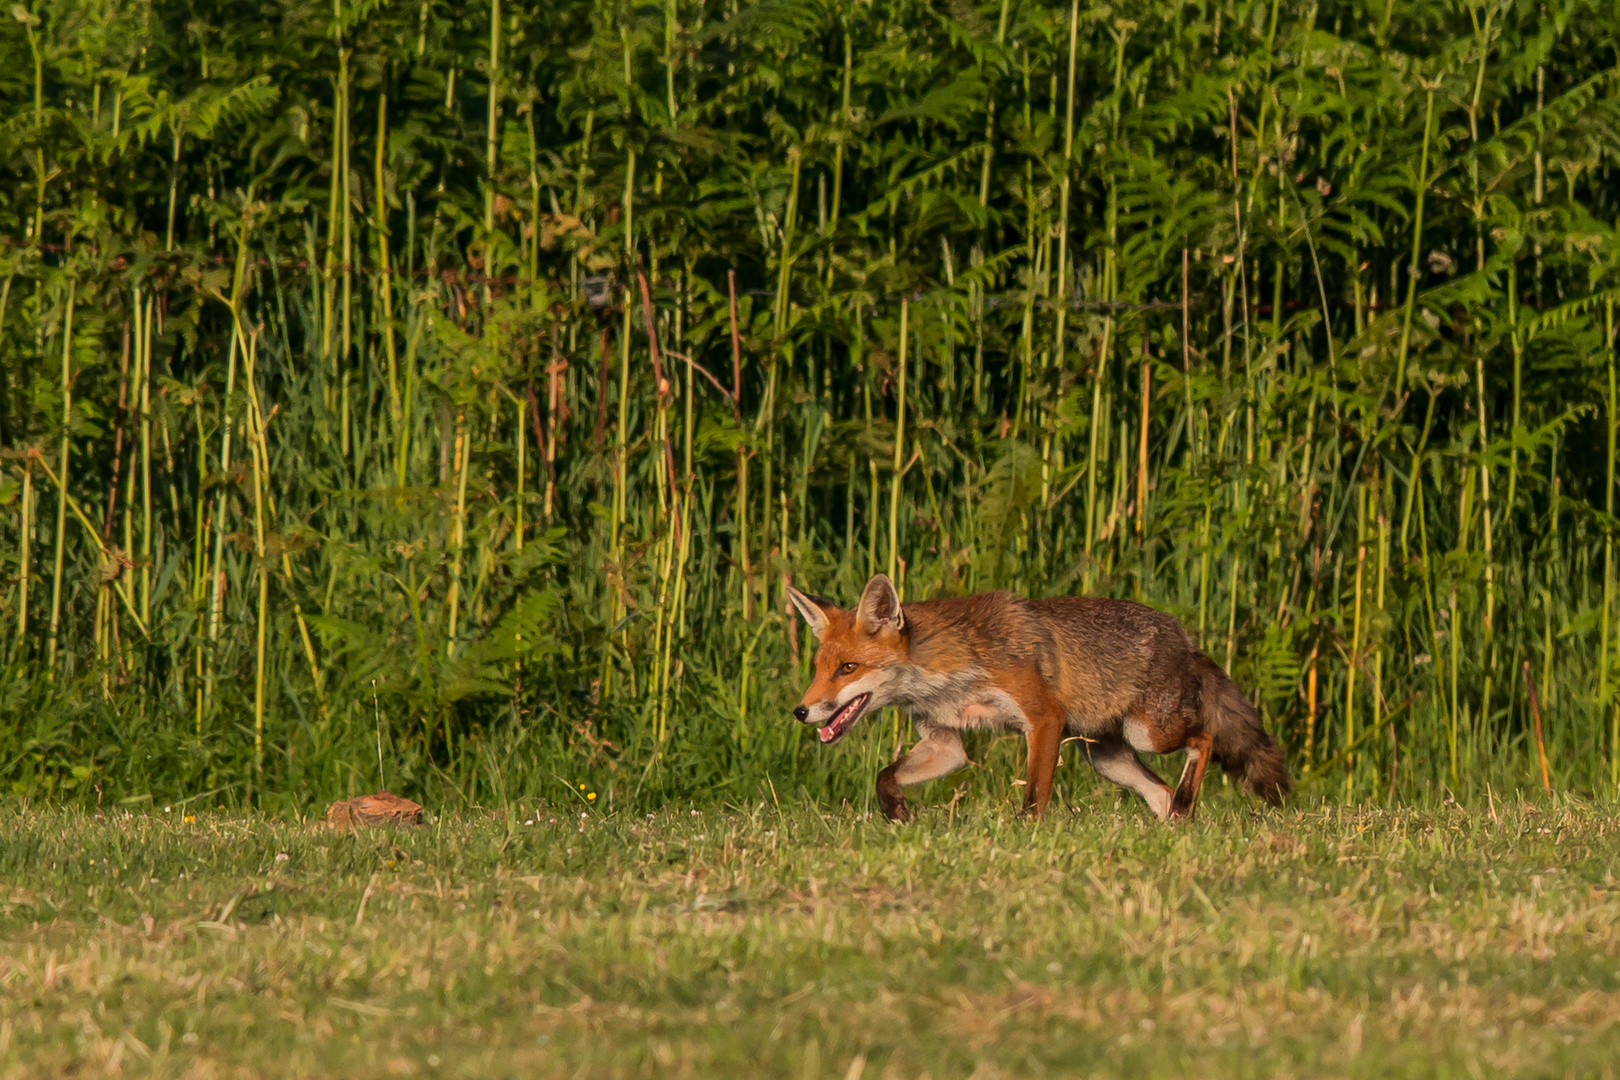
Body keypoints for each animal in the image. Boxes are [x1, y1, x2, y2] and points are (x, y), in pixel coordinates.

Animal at [784, 579, 1289, 822]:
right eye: (818, 668)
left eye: (848, 669)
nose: (801, 711)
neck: (949, 668)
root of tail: (1184, 637)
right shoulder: (945, 743)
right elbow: (884, 777)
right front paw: (897, 813)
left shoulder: (1044, 719)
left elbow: (1033, 800)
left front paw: (1024, 838)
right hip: (1106, 756)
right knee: (1161, 793)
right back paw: (1172, 828)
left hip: (1149, 734)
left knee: (1204, 740)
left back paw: (1186, 805)